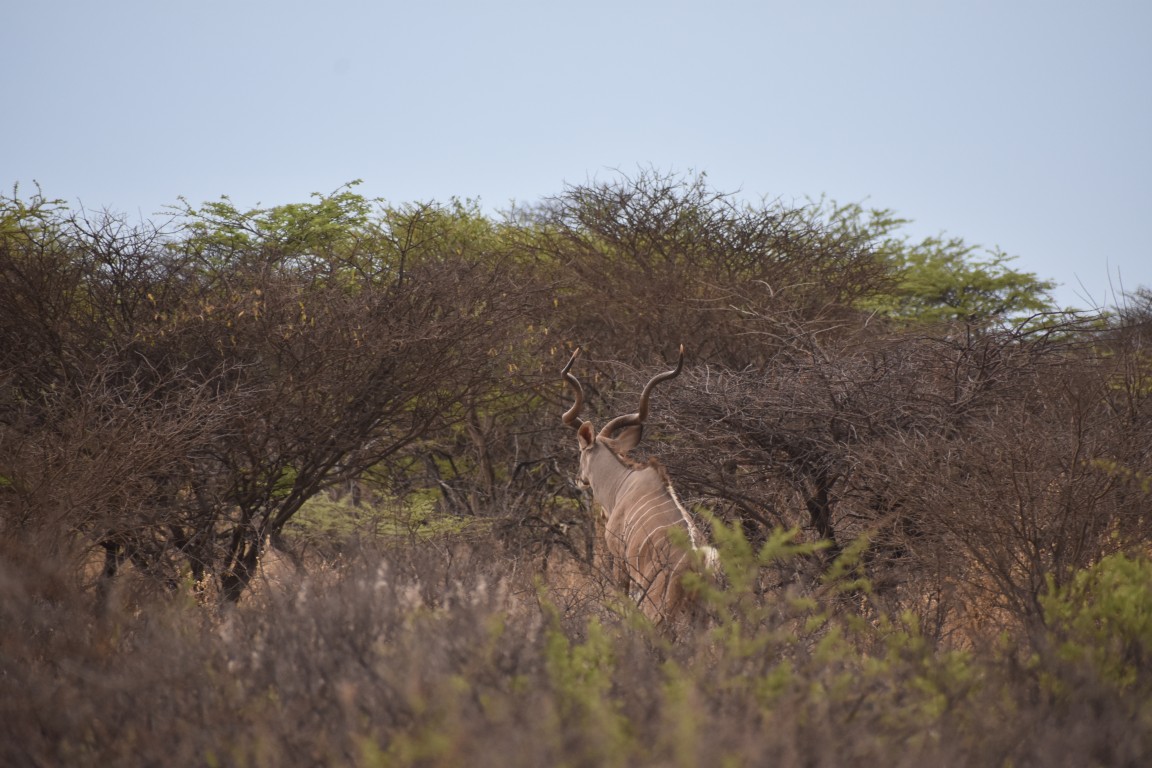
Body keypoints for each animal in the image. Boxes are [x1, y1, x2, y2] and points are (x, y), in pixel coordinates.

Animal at [557, 345, 709, 621]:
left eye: (580, 451)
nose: (579, 478)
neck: (622, 482)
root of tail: (697, 562)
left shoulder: (619, 559)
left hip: (657, 604)